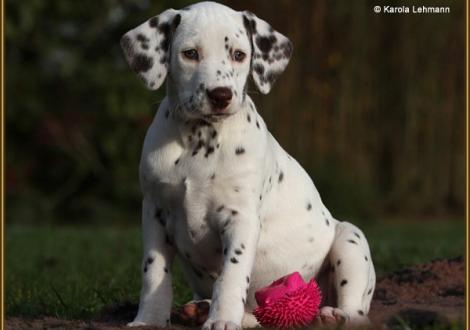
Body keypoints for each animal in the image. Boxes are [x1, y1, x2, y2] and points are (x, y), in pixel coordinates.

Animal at [120, 1, 374, 328]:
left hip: (350, 239)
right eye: (190, 53)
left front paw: (222, 319)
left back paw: (333, 316)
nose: (220, 95)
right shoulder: (155, 212)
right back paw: (202, 309)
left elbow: (231, 275)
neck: (199, 142)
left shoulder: (240, 218)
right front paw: (149, 319)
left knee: (357, 309)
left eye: (239, 55)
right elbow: (154, 272)